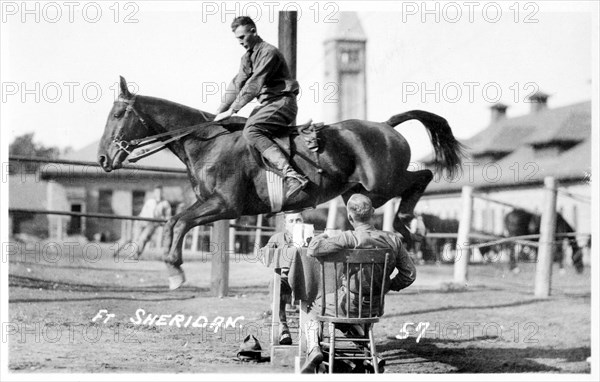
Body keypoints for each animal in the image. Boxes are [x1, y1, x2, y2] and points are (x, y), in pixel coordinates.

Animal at [98, 76, 466, 288]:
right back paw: (408, 223)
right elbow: (174, 222)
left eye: (117, 114)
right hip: (361, 193)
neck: (206, 141)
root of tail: (386, 125)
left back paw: (409, 221)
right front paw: (174, 268)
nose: (103, 158)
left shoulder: (224, 205)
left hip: (381, 185)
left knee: (423, 177)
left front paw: (175, 269)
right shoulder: (209, 204)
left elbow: (178, 221)